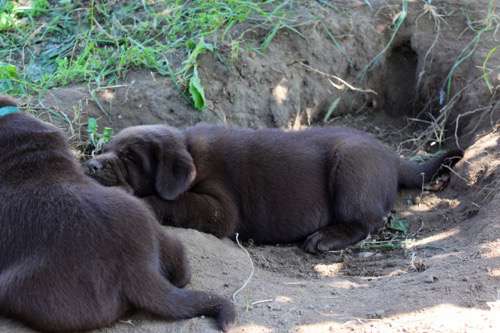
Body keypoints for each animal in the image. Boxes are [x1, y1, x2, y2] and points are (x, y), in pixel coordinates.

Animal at [85, 123, 460, 253]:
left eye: (130, 157)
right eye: (106, 148)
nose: (91, 164)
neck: (190, 152)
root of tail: (392, 157)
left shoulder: (220, 208)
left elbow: (175, 202)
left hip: (353, 166)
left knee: (365, 222)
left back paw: (324, 238)